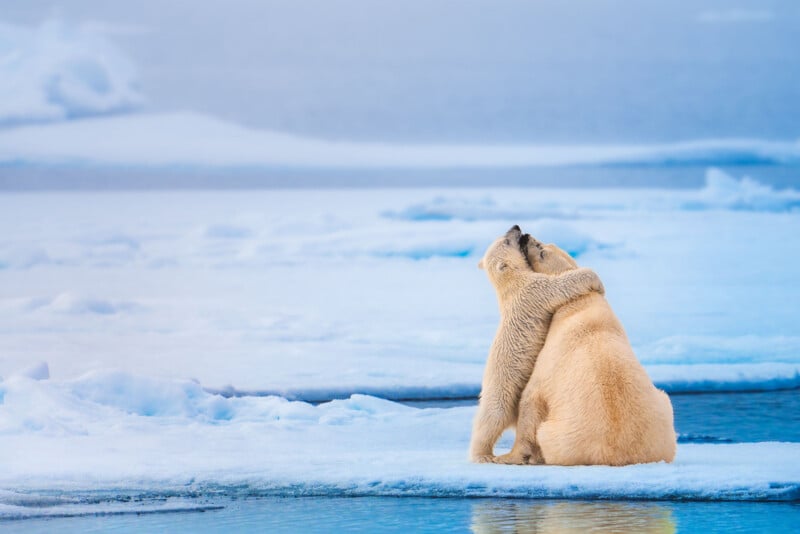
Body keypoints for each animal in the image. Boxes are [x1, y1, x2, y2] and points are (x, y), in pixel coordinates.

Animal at [469, 226, 605, 462]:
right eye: (507, 241)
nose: (516, 228)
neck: (511, 283)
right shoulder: (535, 289)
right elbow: (560, 285)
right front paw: (596, 281)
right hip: (501, 390)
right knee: (491, 419)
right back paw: (482, 455)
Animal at [494, 236, 677, 466]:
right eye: (546, 244)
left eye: (542, 250)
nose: (526, 236)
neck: (582, 303)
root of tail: (615, 455)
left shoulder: (549, 362)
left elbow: (531, 398)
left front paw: (508, 456)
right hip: (663, 417)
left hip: (559, 435)